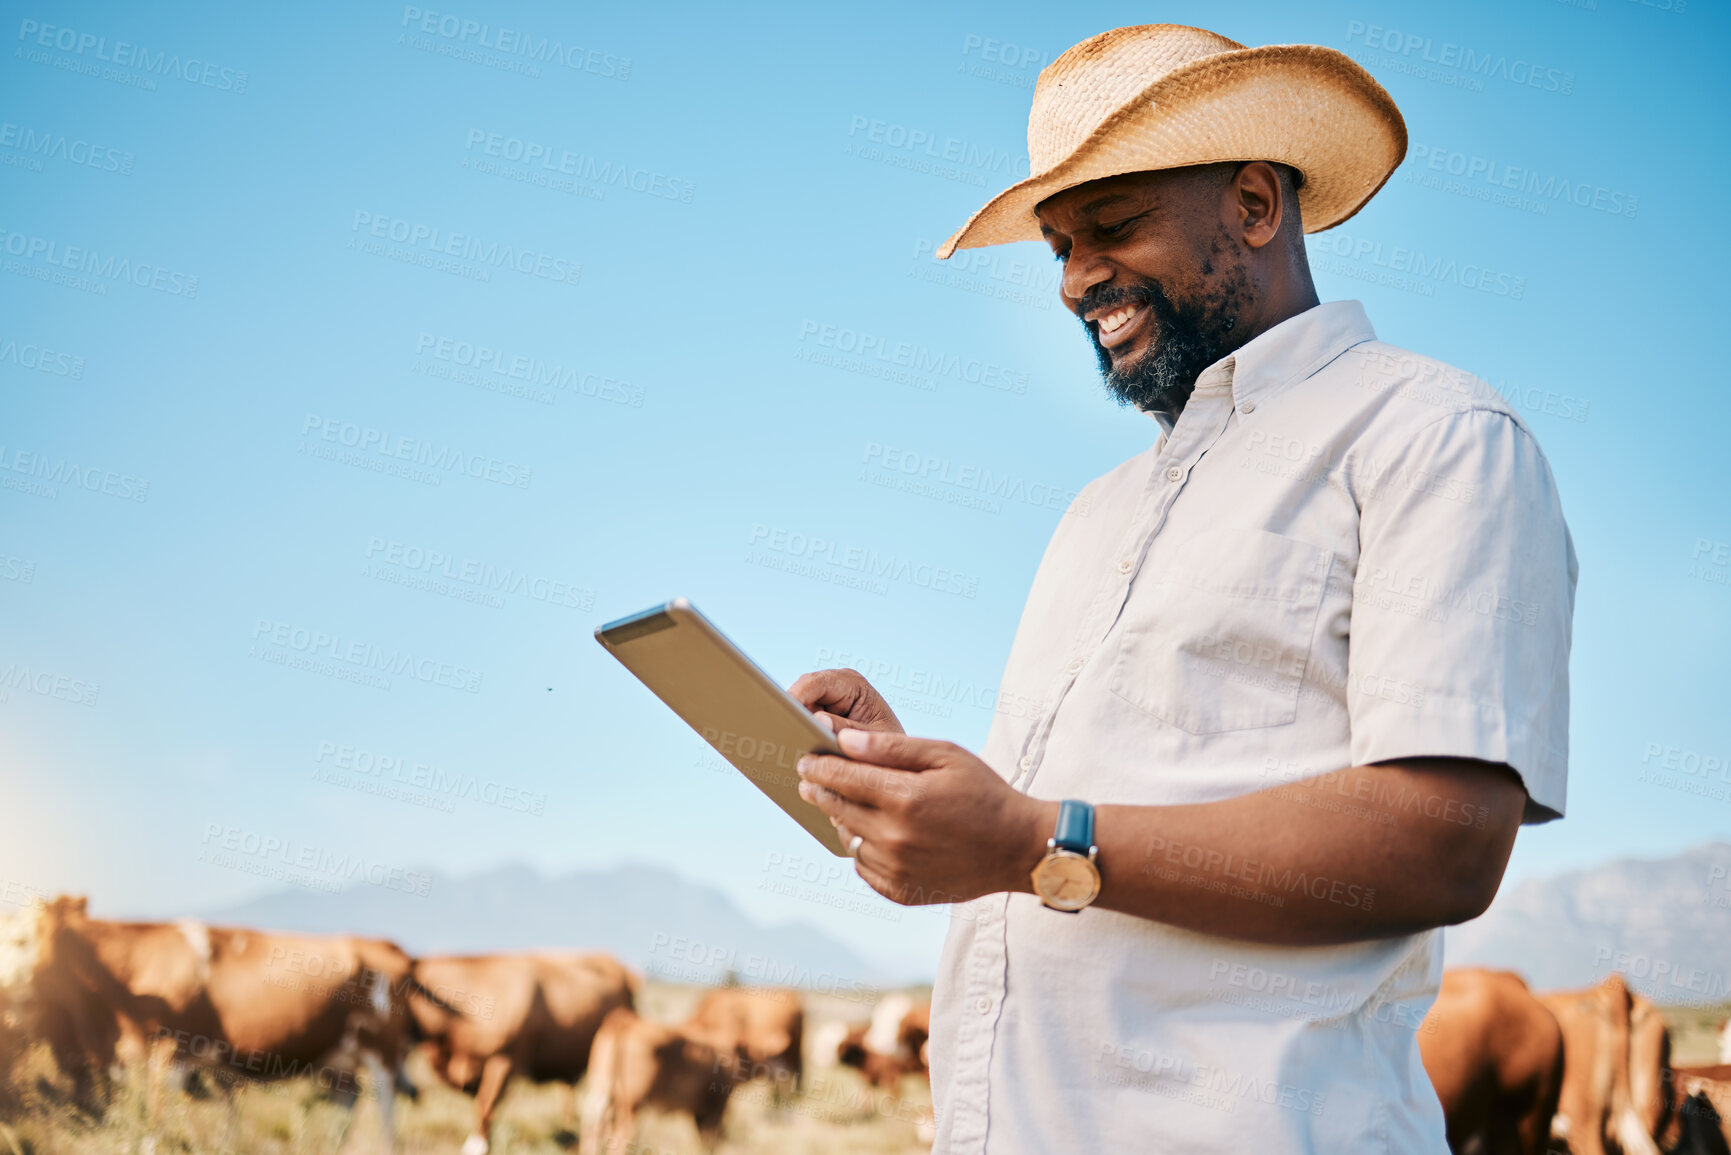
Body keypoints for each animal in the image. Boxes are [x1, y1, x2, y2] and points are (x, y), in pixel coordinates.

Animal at [574, 1004, 737, 1155]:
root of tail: (625, 1021)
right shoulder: (716, 1108)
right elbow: (709, 1142)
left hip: (602, 1090)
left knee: (594, 1122)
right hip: (631, 1107)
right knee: (619, 1138)